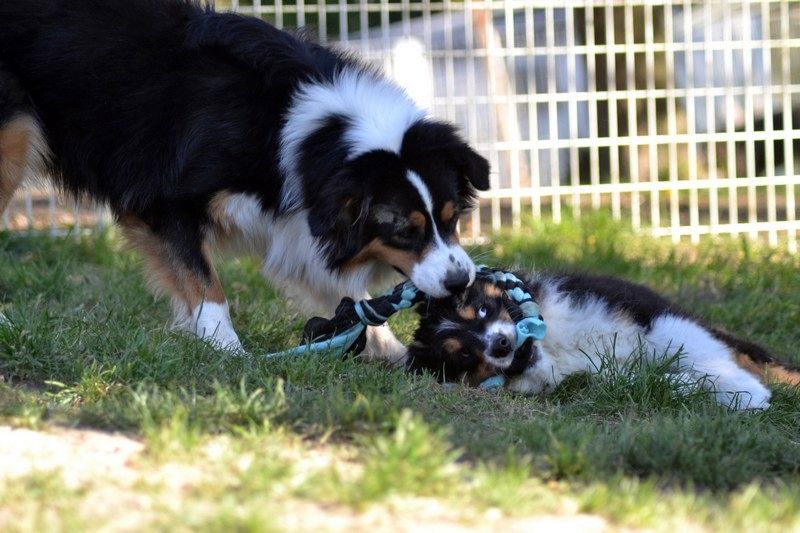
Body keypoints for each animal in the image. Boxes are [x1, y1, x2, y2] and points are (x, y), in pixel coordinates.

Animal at [0, 0, 490, 360]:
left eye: (452, 218)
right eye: (403, 230)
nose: (460, 281)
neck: (305, 135)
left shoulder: (296, 223)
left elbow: (340, 289)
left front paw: (392, 350)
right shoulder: (164, 200)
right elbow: (204, 283)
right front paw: (228, 349)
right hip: (14, 136)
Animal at [410, 268, 796, 410]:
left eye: (482, 309)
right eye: (461, 356)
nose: (501, 345)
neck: (553, 349)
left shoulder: (644, 312)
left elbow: (692, 345)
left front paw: (746, 392)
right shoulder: (595, 377)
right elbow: (653, 381)